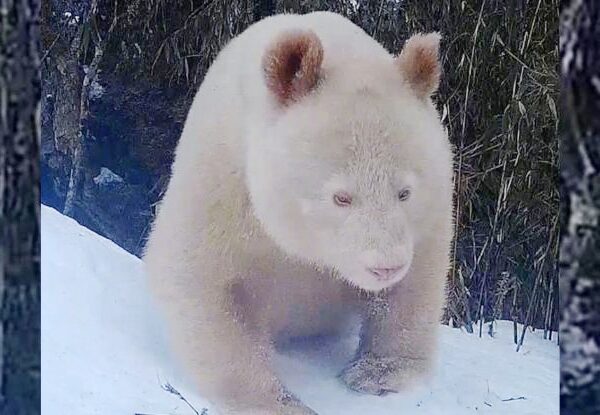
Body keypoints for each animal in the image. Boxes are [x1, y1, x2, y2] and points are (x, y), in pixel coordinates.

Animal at [144, 9, 454, 415]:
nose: (385, 267)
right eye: (341, 197)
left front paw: (378, 374)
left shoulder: (430, 211)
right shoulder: (223, 181)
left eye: (404, 192)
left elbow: (416, 282)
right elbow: (199, 278)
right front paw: (277, 402)